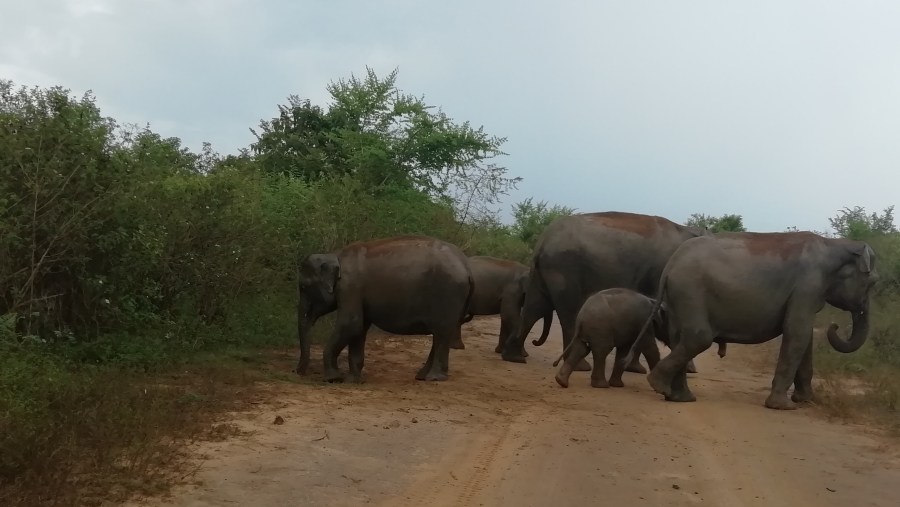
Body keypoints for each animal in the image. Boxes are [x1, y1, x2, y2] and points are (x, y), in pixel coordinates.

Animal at [298, 236, 478, 382]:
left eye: (303, 287)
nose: (298, 372)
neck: (335, 255)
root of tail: (467, 267)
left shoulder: (350, 287)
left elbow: (351, 323)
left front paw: (333, 379)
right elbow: (359, 328)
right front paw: (353, 380)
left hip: (448, 293)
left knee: (441, 332)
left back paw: (434, 378)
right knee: (439, 334)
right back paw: (422, 376)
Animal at [500, 210, 712, 374]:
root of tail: (542, 242)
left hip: (545, 272)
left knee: (535, 308)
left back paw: (513, 357)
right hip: (564, 269)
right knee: (568, 311)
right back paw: (581, 367)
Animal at [624, 232, 876, 410]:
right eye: (873, 283)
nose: (835, 326)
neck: (834, 244)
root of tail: (671, 264)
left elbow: (805, 338)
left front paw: (806, 401)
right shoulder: (808, 286)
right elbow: (797, 333)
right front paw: (783, 407)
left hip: (679, 295)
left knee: (679, 338)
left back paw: (679, 398)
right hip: (690, 289)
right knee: (699, 338)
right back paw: (658, 385)